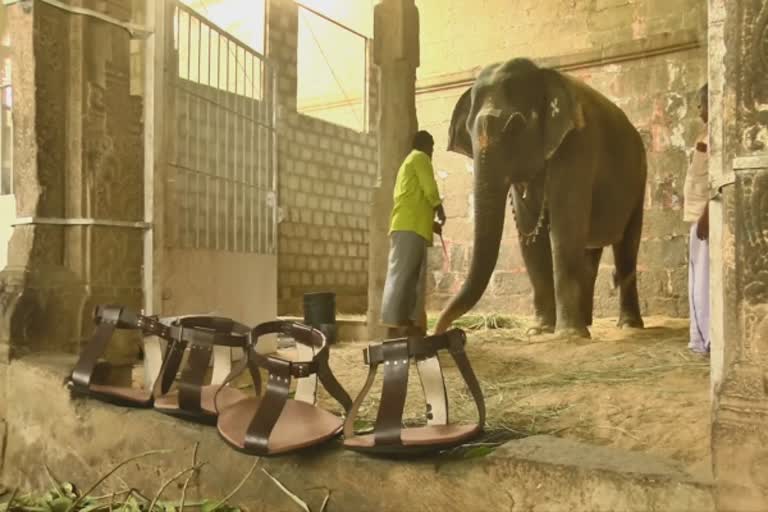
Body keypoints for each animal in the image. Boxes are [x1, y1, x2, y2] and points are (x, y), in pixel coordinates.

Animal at [436, 58, 644, 338]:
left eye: (516, 125)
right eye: (468, 132)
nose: (441, 330)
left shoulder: (577, 143)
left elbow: (565, 229)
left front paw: (568, 336)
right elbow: (529, 237)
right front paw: (540, 330)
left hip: (639, 180)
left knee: (626, 248)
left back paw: (628, 325)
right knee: (589, 251)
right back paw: (587, 322)